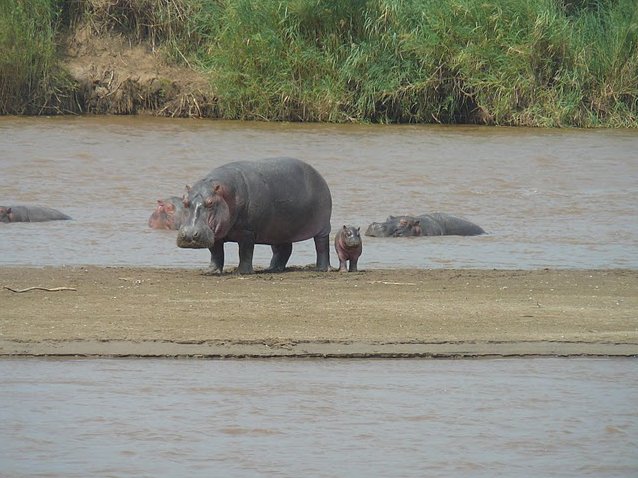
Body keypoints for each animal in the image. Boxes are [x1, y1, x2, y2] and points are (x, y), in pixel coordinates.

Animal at [176, 158, 332, 274]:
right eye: (185, 201)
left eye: (210, 203)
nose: (189, 234)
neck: (226, 194)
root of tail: (318, 174)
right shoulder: (215, 233)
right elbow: (216, 253)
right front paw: (211, 271)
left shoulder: (247, 231)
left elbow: (245, 252)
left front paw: (242, 272)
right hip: (278, 231)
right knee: (284, 249)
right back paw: (272, 269)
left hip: (323, 227)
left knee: (322, 246)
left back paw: (322, 269)